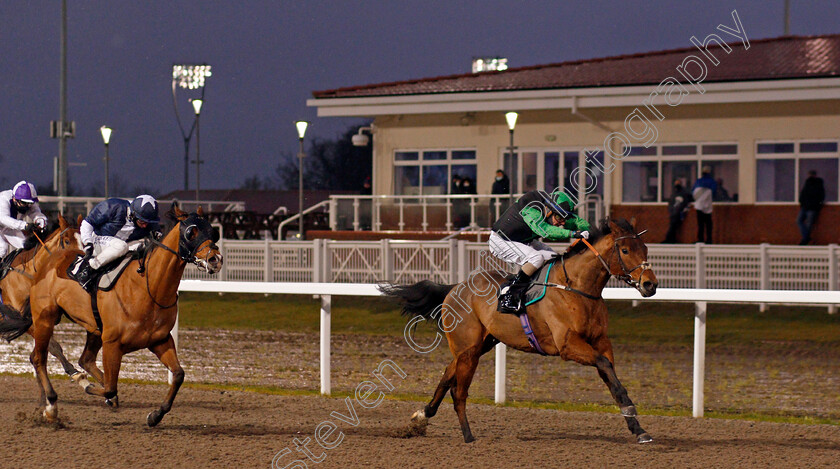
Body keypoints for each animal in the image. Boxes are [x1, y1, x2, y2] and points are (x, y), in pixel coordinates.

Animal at [384, 218, 660, 442]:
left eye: (645, 249)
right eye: (625, 250)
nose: (650, 284)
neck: (578, 288)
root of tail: (455, 287)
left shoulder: (601, 341)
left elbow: (611, 375)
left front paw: (638, 428)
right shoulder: (568, 345)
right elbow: (604, 366)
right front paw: (633, 415)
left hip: (478, 346)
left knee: (446, 376)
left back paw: (423, 415)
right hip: (468, 349)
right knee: (458, 391)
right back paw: (468, 436)